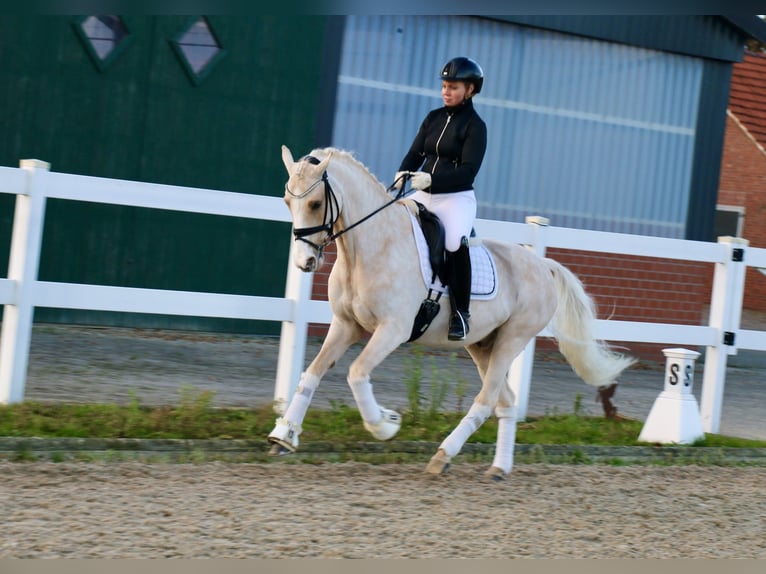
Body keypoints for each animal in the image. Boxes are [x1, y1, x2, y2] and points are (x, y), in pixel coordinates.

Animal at [270, 145, 636, 482]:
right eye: (287, 202)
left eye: (315, 204)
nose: (305, 263)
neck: (370, 248)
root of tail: (543, 265)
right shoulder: (346, 325)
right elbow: (311, 374)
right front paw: (283, 435)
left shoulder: (392, 330)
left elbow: (357, 373)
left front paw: (386, 424)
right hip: (482, 345)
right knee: (505, 400)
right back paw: (498, 467)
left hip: (512, 339)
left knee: (486, 400)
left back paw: (443, 455)